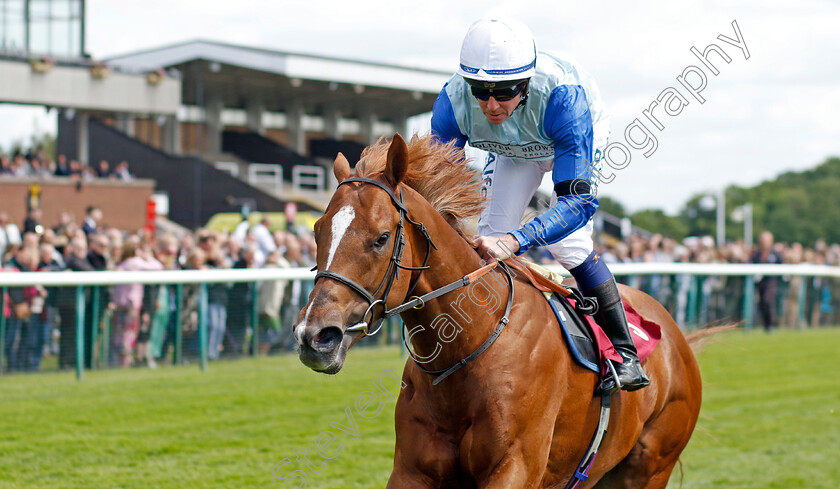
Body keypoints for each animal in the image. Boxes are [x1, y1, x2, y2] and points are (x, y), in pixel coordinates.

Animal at [296, 134, 704, 488]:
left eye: (381, 238)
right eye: (317, 230)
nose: (315, 337)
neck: (470, 343)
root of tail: (677, 338)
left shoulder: (515, 466)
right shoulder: (412, 470)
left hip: (649, 467)